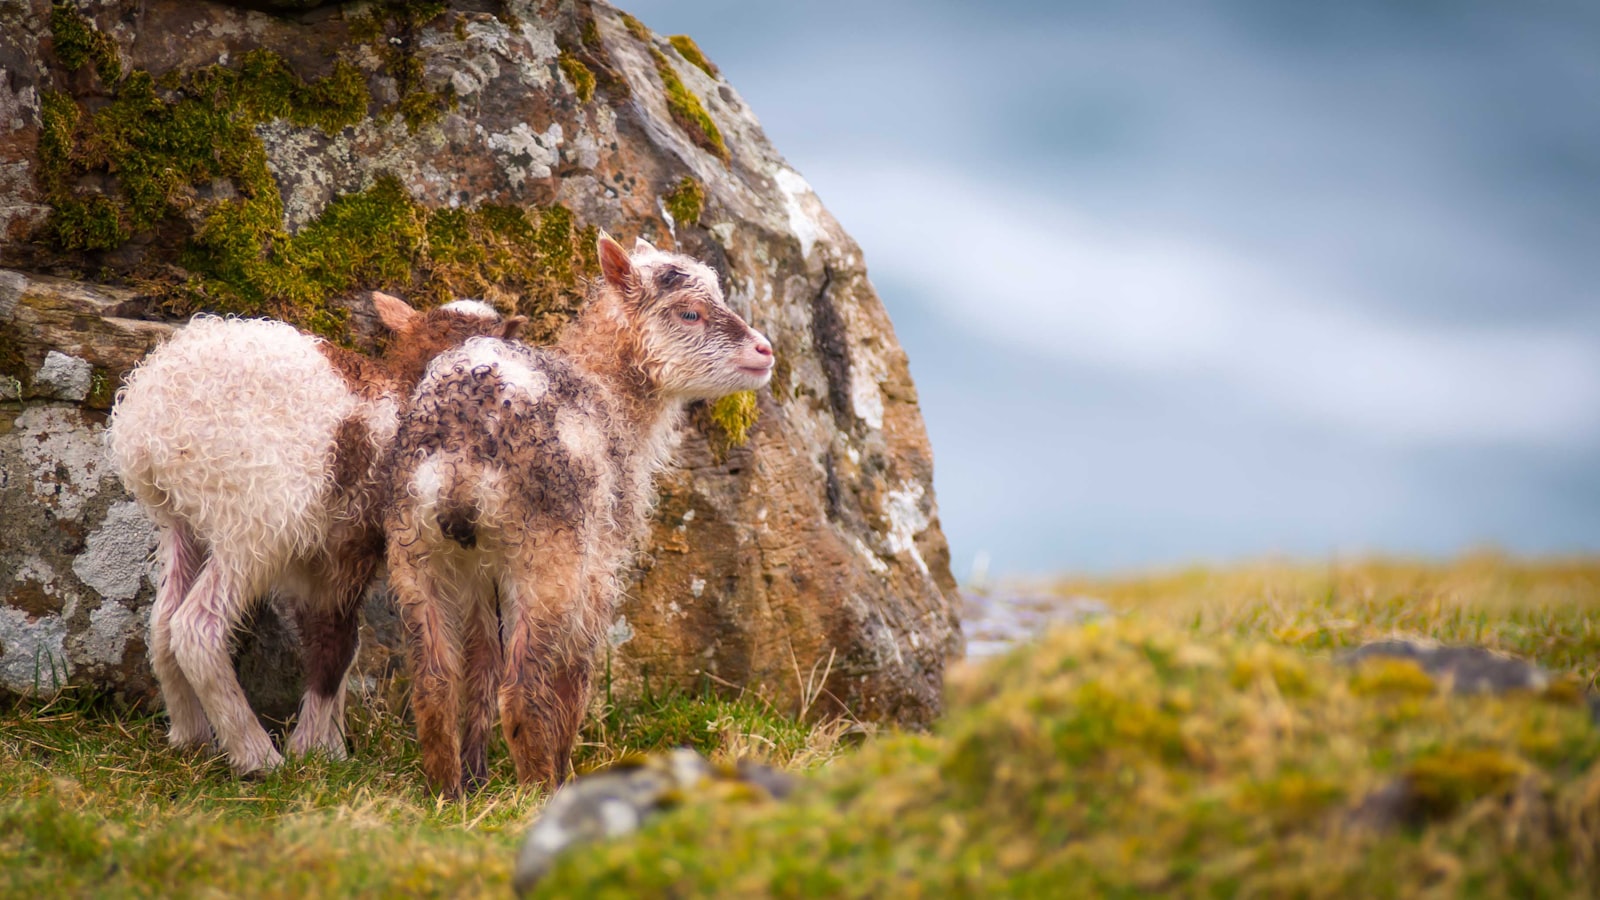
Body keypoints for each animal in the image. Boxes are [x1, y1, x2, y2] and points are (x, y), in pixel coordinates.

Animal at [109, 294, 521, 771]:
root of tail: (152, 420)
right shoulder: (352, 542)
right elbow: (335, 643)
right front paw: (311, 750)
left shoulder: (325, 554)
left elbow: (343, 643)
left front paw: (333, 746)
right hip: (252, 522)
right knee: (196, 629)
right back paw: (257, 757)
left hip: (179, 520)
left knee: (161, 622)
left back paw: (191, 737)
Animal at [380, 232, 768, 791]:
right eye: (690, 313)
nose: (765, 350)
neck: (609, 390)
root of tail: (461, 457)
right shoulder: (600, 564)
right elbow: (576, 674)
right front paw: (561, 768)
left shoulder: (480, 575)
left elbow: (480, 665)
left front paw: (476, 777)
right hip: (550, 556)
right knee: (522, 689)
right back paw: (541, 789)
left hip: (417, 551)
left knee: (434, 683)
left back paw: (448, 791)